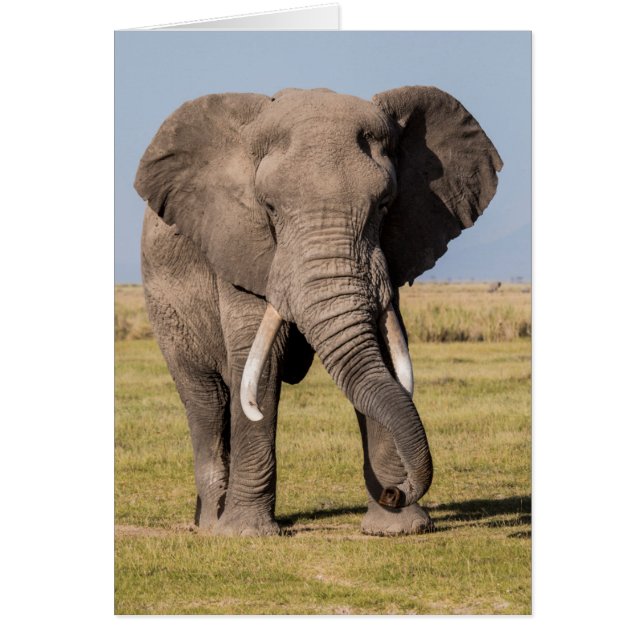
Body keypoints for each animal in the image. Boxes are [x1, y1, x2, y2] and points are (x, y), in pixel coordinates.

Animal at [134, 86, 502, 536]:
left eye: (384, 205)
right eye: (269, 208)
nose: (394, 491)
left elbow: (380, 353)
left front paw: (398, 529)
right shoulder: (242, 247)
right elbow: (260, 365)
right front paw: (246, 535)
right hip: (165, 307)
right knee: (206, 399)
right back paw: (210, 525)